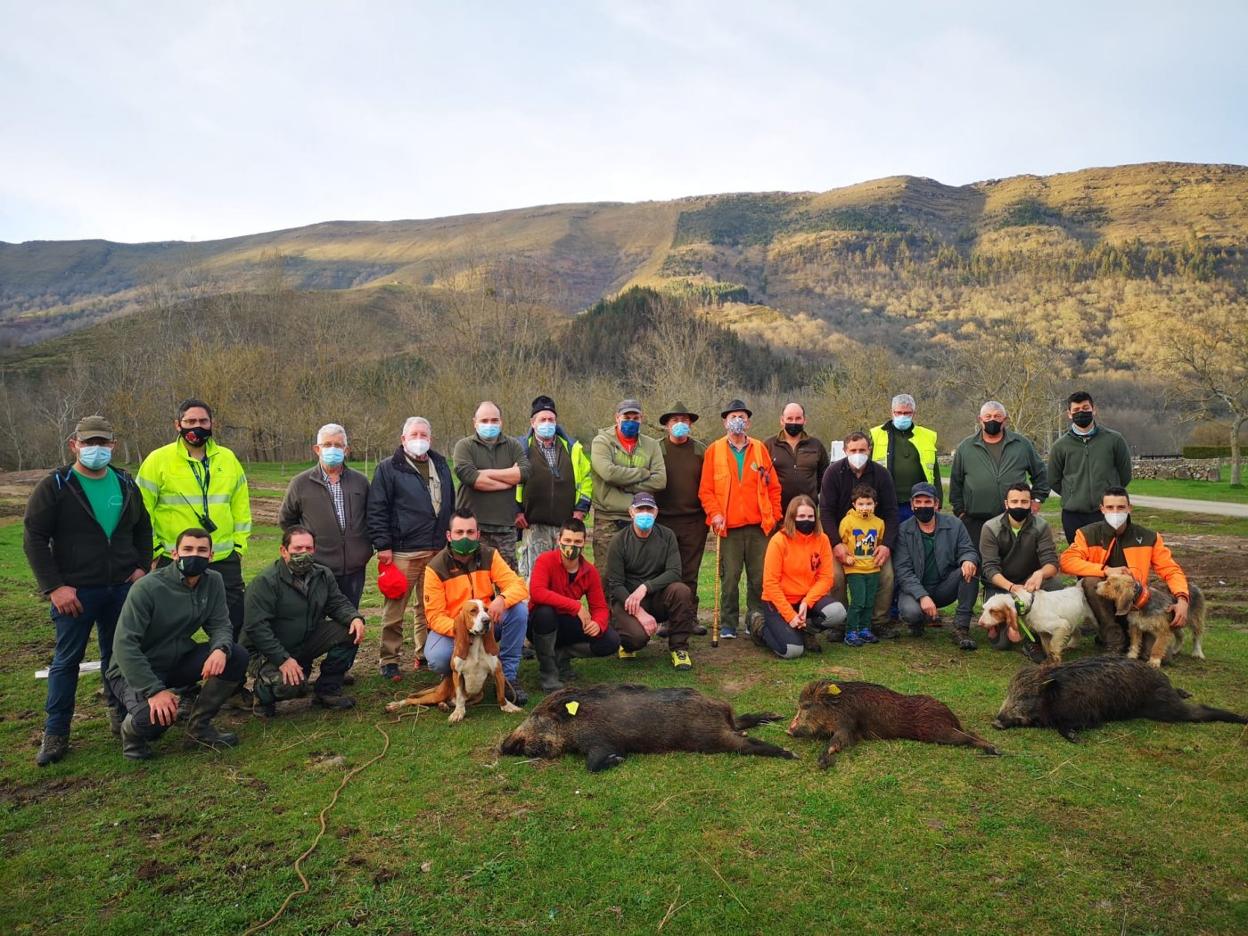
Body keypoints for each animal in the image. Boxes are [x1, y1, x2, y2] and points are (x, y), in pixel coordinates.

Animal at [379, 601, 516, 723]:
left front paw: (507, 706)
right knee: (411, 700)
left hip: (478, 696)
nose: (487, 621)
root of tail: (441, 684)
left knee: (448, 701)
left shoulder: (498, 672)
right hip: (436, 695)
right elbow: (460, 698)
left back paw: (443, 705)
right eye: (473, 611)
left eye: (486, 610)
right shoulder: (457, 674)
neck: (476, 643)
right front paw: (458, 713)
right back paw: (395, 705)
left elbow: (501, 694)